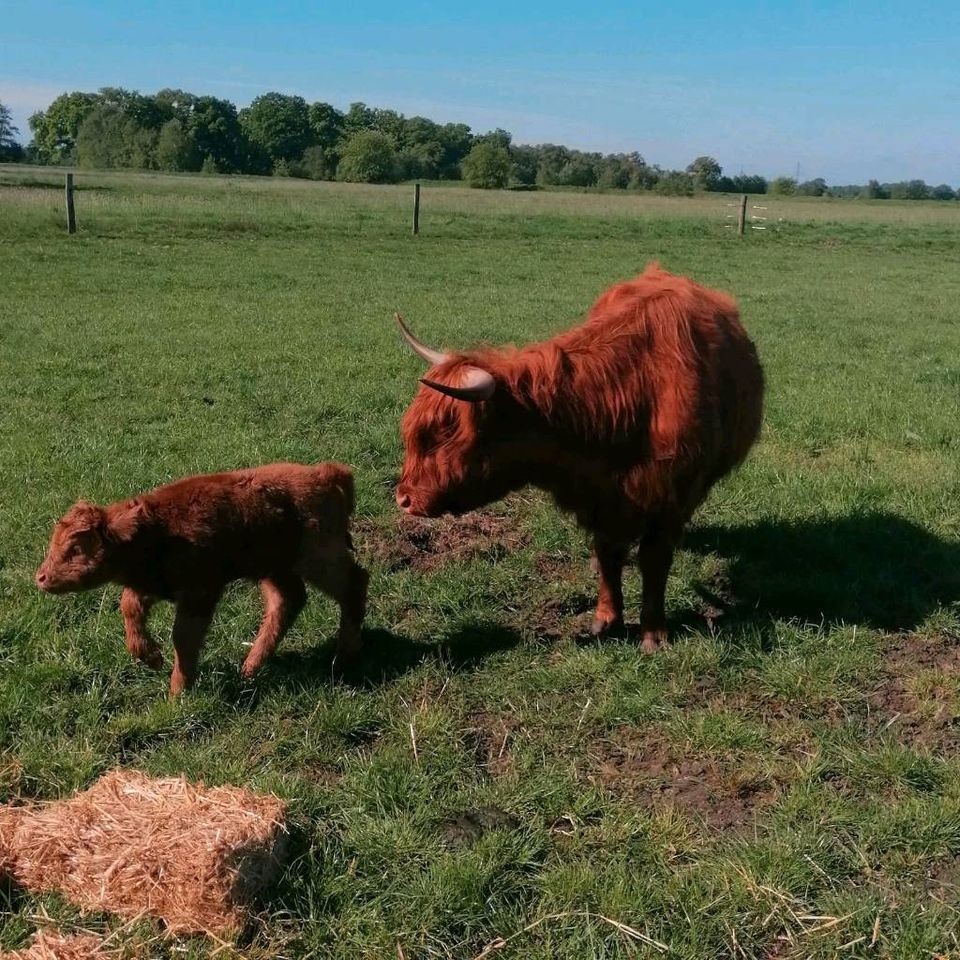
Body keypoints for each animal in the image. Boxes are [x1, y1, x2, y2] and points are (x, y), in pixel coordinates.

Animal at [36, 462, 368, 692]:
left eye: (75, 548)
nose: (40, 577)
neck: (156, 530)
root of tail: (326, 473)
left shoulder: (201, 592)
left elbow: (183, 637)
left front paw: (178, 691)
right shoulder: (152, 586)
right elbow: (128, 606)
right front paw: (151, 658)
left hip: (319, 560)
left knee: (355, 583)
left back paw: (345, 656)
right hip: (274, 569)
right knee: (288, 601)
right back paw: (250, 668)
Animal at [394, 262, 760, 652]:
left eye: (442, 437)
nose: (403, 498)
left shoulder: (671, 499)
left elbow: (653, 560)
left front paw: (653, 631)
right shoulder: (599, 498)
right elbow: (607, 554)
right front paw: (606, 618)